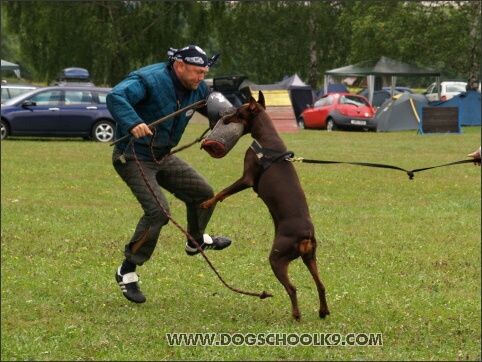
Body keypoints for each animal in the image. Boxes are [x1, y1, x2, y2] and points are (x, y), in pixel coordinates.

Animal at [201, 90, 332, 320]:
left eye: (238, 112)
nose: (224, 118)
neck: (267, 139)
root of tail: (306, 235)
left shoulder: (247, 178)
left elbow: (223, 191)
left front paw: (208, 203)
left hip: (277, 258)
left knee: (292, 288)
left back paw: (296, 315)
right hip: (310, 257)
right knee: (321, 285)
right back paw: (323, 311)